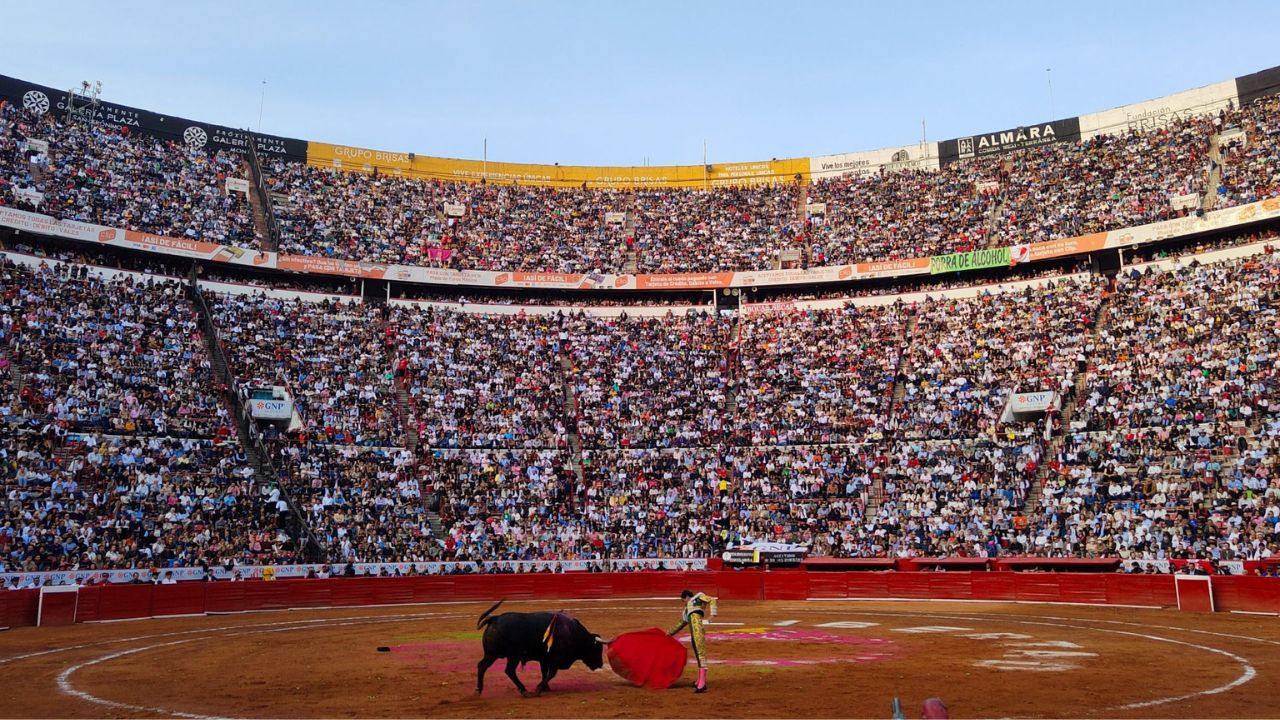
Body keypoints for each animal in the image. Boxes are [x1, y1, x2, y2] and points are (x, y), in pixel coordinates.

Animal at [476, 597, 609, 691]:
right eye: (597, 649)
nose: (600, 664)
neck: (573, 633)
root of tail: (494, 618)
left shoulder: (544, 659)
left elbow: (544, 673)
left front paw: (546, 688)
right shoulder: (555, 659)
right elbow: (551, 674)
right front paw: (539, 687)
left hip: (491, 654)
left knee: (482, 666)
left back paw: (478, 690)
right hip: (512, 656)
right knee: (509, 671)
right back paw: (523, 690)